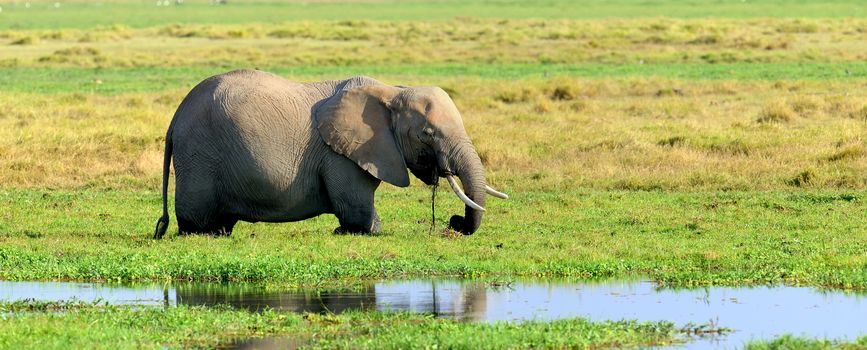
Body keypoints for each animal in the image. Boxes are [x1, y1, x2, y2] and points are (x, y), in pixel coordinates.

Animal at [154, 69, 508, 238]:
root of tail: (175, 117)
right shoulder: (338, 154)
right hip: (199, 155)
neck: (391, 92)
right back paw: (207, 233)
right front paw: (356, 231)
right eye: (427, 134)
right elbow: (355, 205)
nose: (455, 224)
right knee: (198, 219)